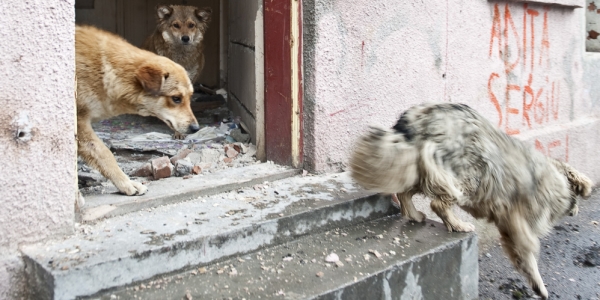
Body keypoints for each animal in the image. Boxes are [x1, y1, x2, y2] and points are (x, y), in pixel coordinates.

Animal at [76, 25, 199, 195]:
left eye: (190, 97)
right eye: (176, 98)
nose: (196, 128)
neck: (106, 71)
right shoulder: (79, 123)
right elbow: (104, 154)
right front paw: (126, 183)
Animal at [350, 102, 592, 298]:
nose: (577, 211)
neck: (555, 180)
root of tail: (420, 115)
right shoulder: (516, 218)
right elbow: (528, 250)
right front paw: (538, 284)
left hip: (422, 166)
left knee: (405, 191)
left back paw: (414, 214)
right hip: (469, 174)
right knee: (437, 203)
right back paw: (456, 224)